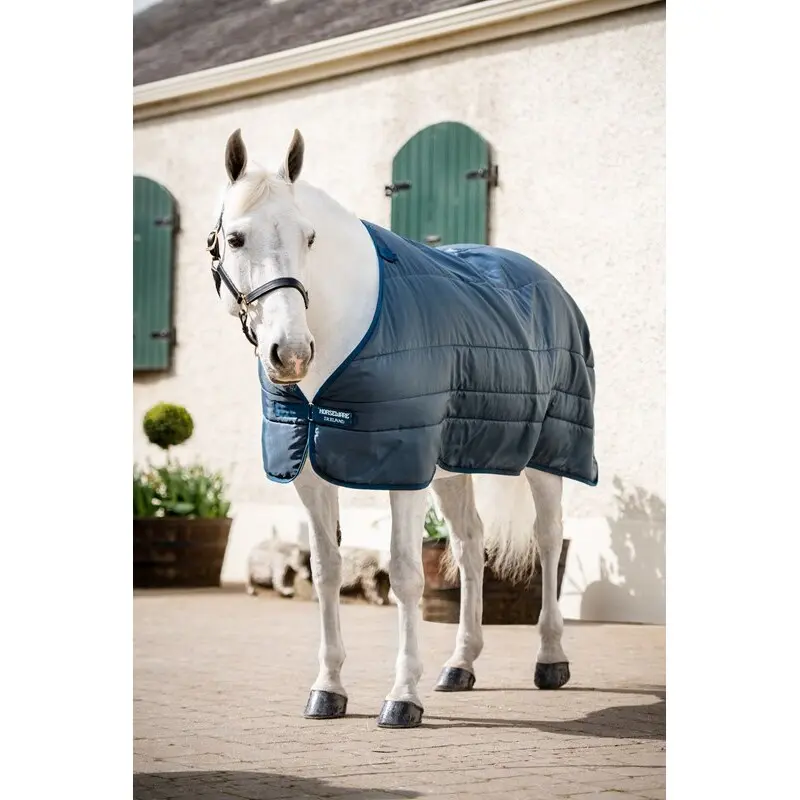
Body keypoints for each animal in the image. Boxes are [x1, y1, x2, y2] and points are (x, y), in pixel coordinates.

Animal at [206, 128, 598, 729]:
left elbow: (407, 573)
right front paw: (328, 689)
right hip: (453, 467)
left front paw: (402, 697)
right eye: (235, 238)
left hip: (545, 456)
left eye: (310, 237)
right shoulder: (310, 473)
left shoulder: (401, 467)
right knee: (470, 546)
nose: (291, 353)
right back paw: (460, 664)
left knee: (548, 539)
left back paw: (551, 659)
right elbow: (325, 571)